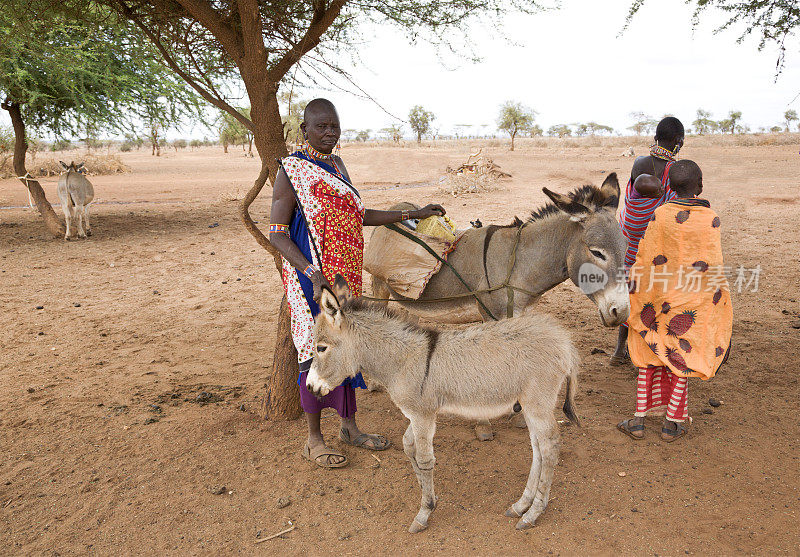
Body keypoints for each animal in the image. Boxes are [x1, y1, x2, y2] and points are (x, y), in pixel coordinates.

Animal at [306, 276, 580, 532]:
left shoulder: (423, 415)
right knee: (538, 448)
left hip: (538, 402)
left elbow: (425, 459)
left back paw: (533, 513)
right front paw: (431, 497)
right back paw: (521, 505)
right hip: (530, 404)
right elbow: (408, 446)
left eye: (321, 348)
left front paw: (424, 512)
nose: (309, 387)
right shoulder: (417, 415)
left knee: (550, 447)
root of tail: (563, 340)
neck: (404, 360)